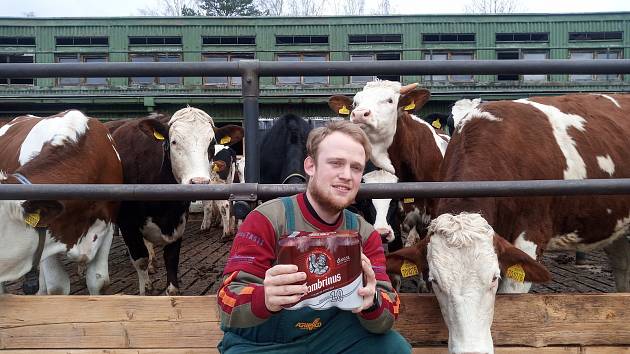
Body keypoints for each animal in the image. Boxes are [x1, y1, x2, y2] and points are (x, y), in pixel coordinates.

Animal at [107, 108, 243, 296]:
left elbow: (168, 258)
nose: (199, 182)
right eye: (174, 142)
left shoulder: (177, 220)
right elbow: (143, 259)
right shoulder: (129, 223)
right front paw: (149, 284)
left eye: (211, 145)